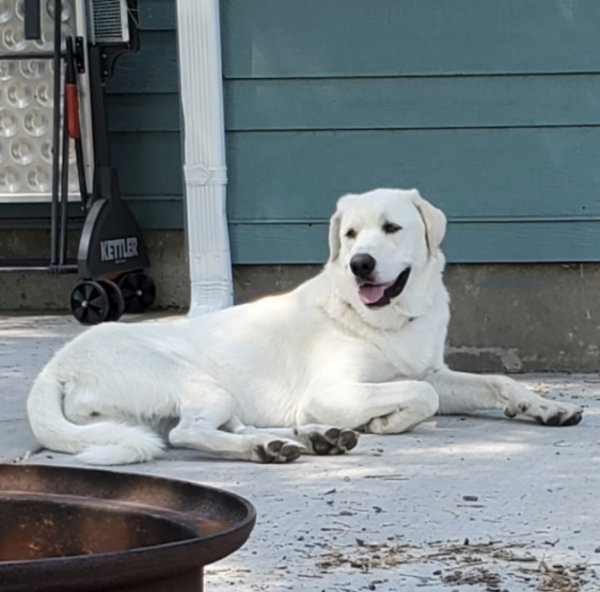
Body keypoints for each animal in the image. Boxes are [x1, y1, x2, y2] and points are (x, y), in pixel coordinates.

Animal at [27, 187, 580, 464]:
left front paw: (546, 407)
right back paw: (269, 448)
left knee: (221, 426)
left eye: (392, 228)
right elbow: (423, 397)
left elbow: (494, 381)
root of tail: (56, 367)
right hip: (197, 381)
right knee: (188, 433)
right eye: (350, 233)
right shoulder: (332, 389)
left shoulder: (431, 371)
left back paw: (312, 437)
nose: (359, 263)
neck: (386, 319)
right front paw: (388, 422)